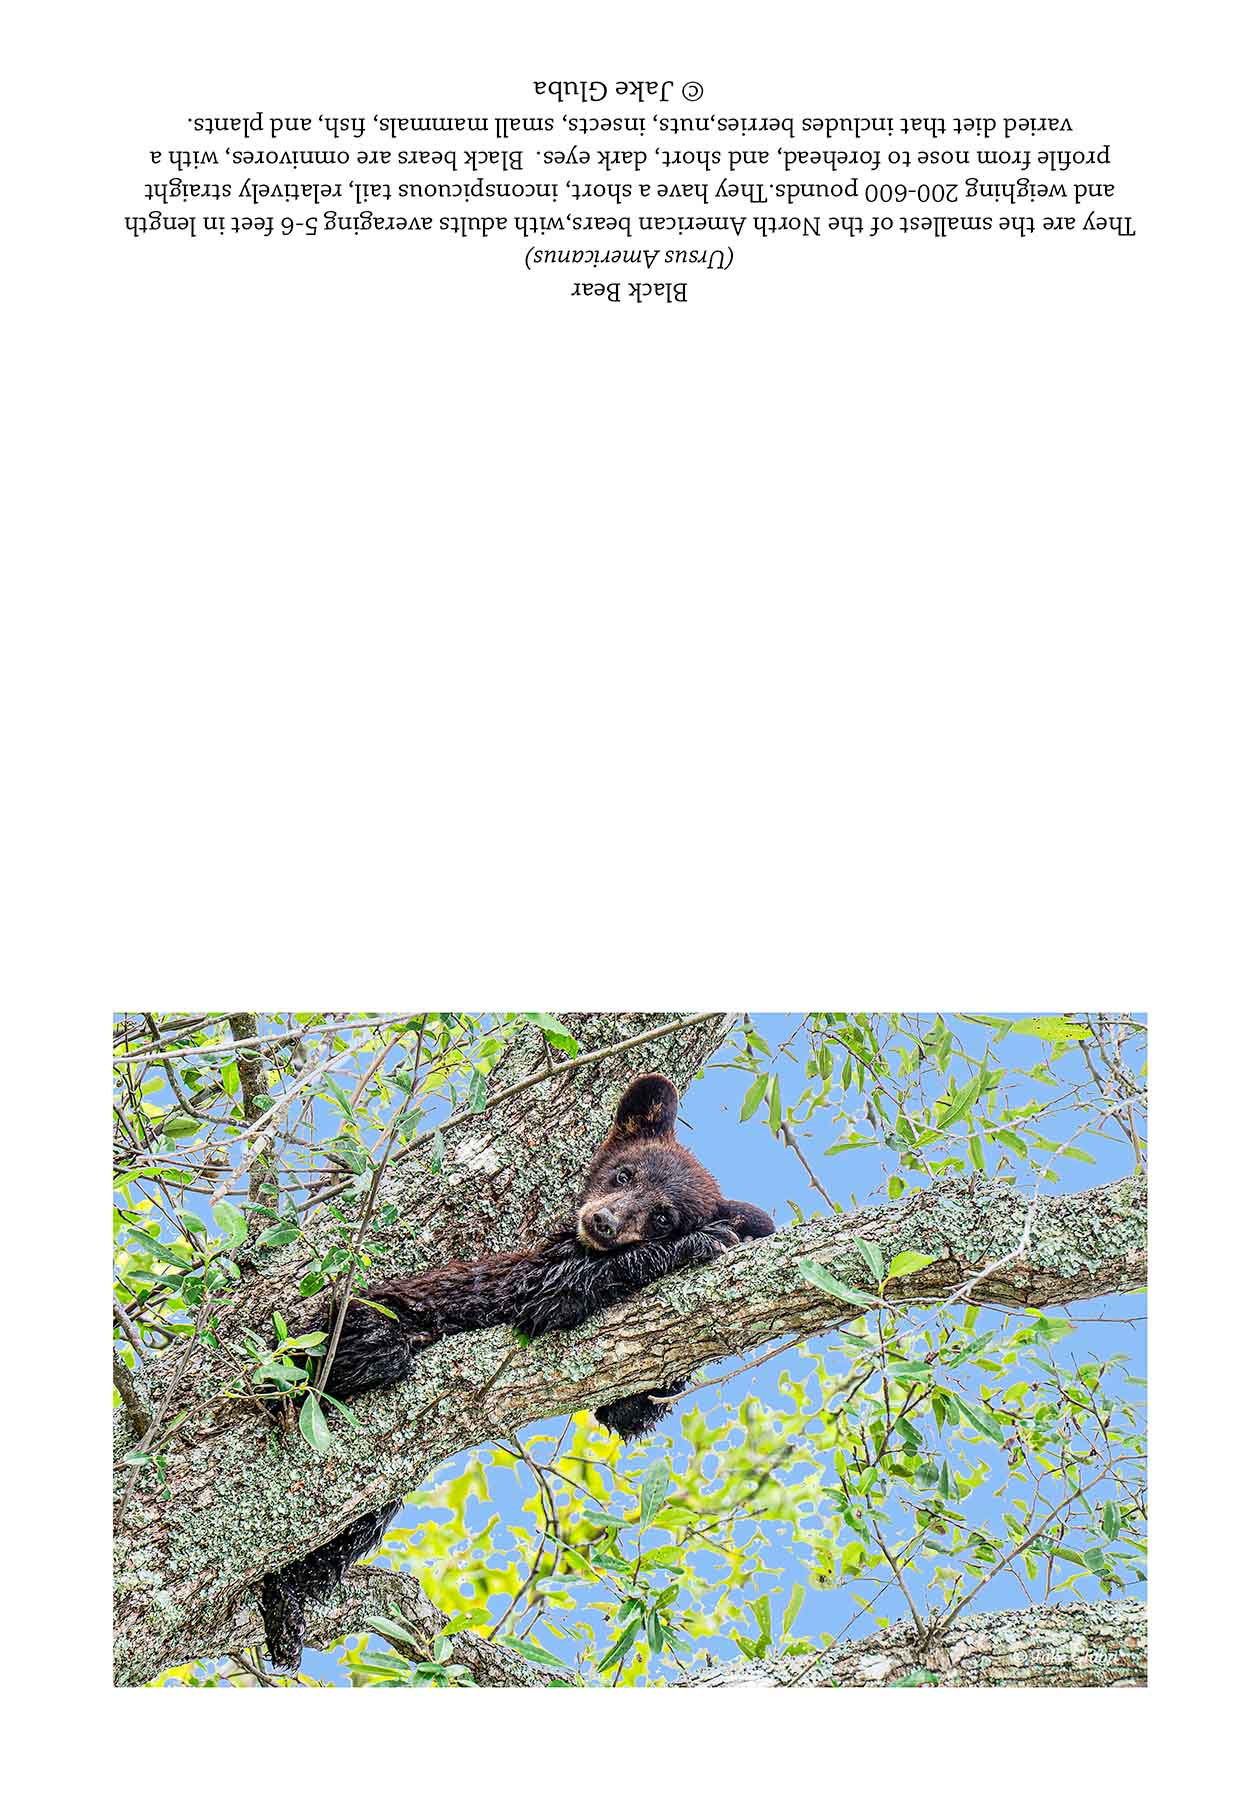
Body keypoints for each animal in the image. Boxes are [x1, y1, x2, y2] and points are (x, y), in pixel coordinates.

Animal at [258, 1072, 775, 1669]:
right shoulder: (529, 1268)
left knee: (354, 1524)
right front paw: (706, 1241)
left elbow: (625, 1412)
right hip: (339, 1327)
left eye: (663, 1214)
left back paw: (290, 1598)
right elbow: (549, 1288)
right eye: (625, 1174)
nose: (603, 1221)